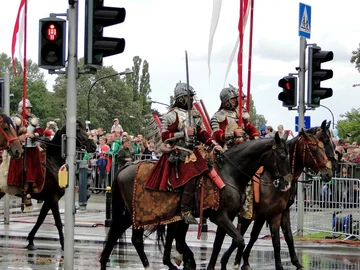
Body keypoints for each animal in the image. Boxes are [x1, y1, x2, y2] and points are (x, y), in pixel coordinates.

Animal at [0, 121, 96, 250]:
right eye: (77, 130)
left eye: (85, 129)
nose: (94, 146)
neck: (53, 162)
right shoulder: (53, 198)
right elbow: (58, 222)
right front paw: (64, 244)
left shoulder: (48, 200)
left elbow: (40, 219)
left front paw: (31, 240)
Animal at [100, 132, 292, 268]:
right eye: (282, 156)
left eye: (289, 156)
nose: (285, 184)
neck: (230, 173)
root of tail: (127, 166)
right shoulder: (220, 217)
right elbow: (239, 240)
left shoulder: (227, 217)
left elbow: (218, 245)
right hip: (140, 213)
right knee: (136, 240)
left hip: (130, 213)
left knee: (115, 233)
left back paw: (103, 262)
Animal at [214, 123, 334, 270]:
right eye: (315, 148)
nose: (329, 173)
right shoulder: (261, 213)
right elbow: (263, 237)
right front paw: (236, 260)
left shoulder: (281, 211)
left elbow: (286, 236)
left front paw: (296, 262)